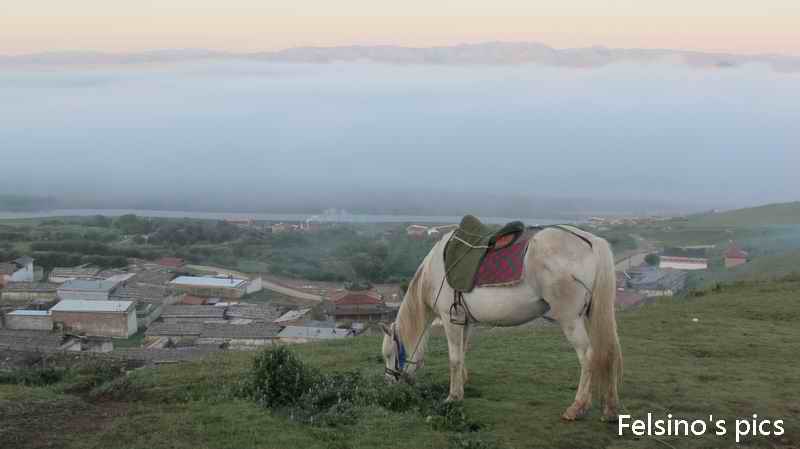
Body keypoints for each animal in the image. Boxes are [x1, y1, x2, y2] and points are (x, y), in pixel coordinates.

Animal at [379, 225, 622, 422]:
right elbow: (463, 353)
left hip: (570, 319)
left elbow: (454, 359)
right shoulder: (464, 321)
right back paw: (610, 408)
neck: (435, 272)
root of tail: (589, 241)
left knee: (588, 356)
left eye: (390, 354)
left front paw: (453, 397)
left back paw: (577, 407)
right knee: (607, 352)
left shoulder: (450, 320)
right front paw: (462, 384)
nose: (389, 383)